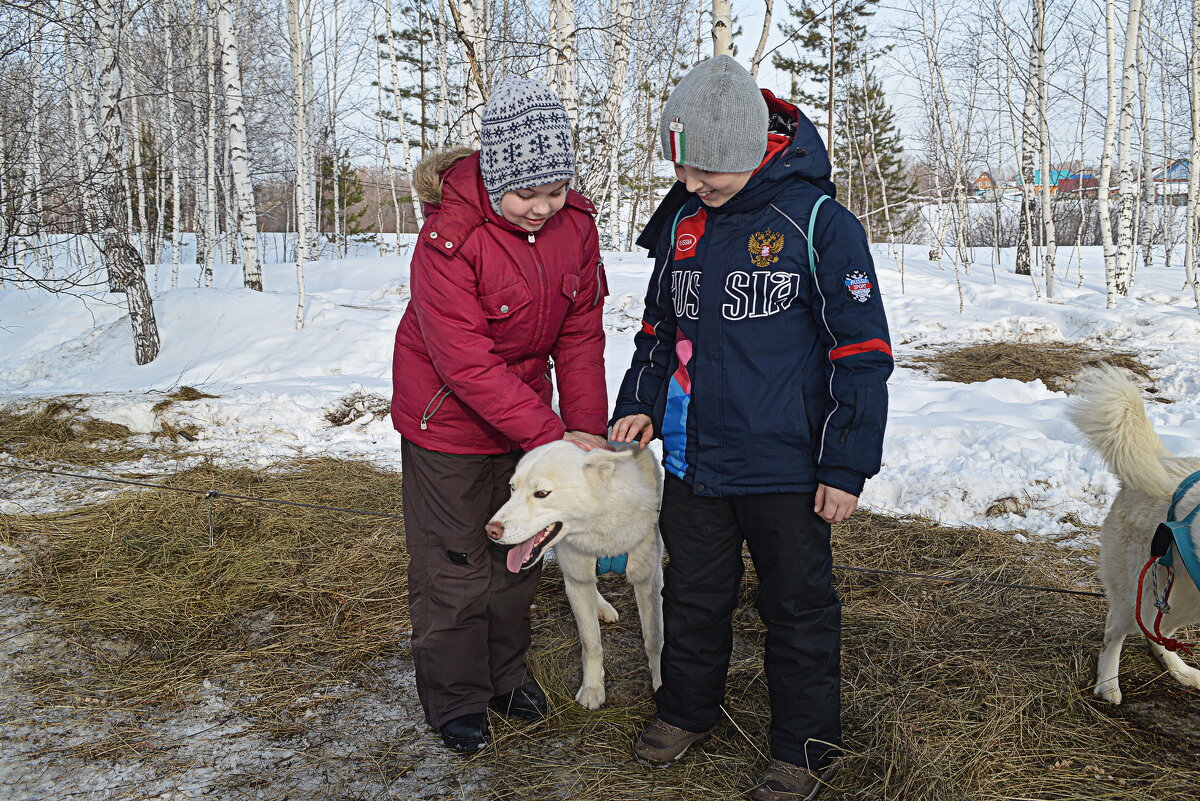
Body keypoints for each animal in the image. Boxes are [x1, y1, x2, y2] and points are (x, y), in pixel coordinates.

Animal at [484, 441, 667, 709]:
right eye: (512, 488)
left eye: (542, 493)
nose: (491, 530)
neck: (600, 529)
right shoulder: (578, 582)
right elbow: (591, 644)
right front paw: (592, 689)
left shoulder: (649, 580)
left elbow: (654, 639)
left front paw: (662, 682)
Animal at [1070, 366, 1200, 705]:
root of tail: (1162, 460)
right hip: (1141, 589)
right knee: (1116, 631)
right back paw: (1108, 684)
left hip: (1182, 598)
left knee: (1156, 630)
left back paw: (1180, 669)